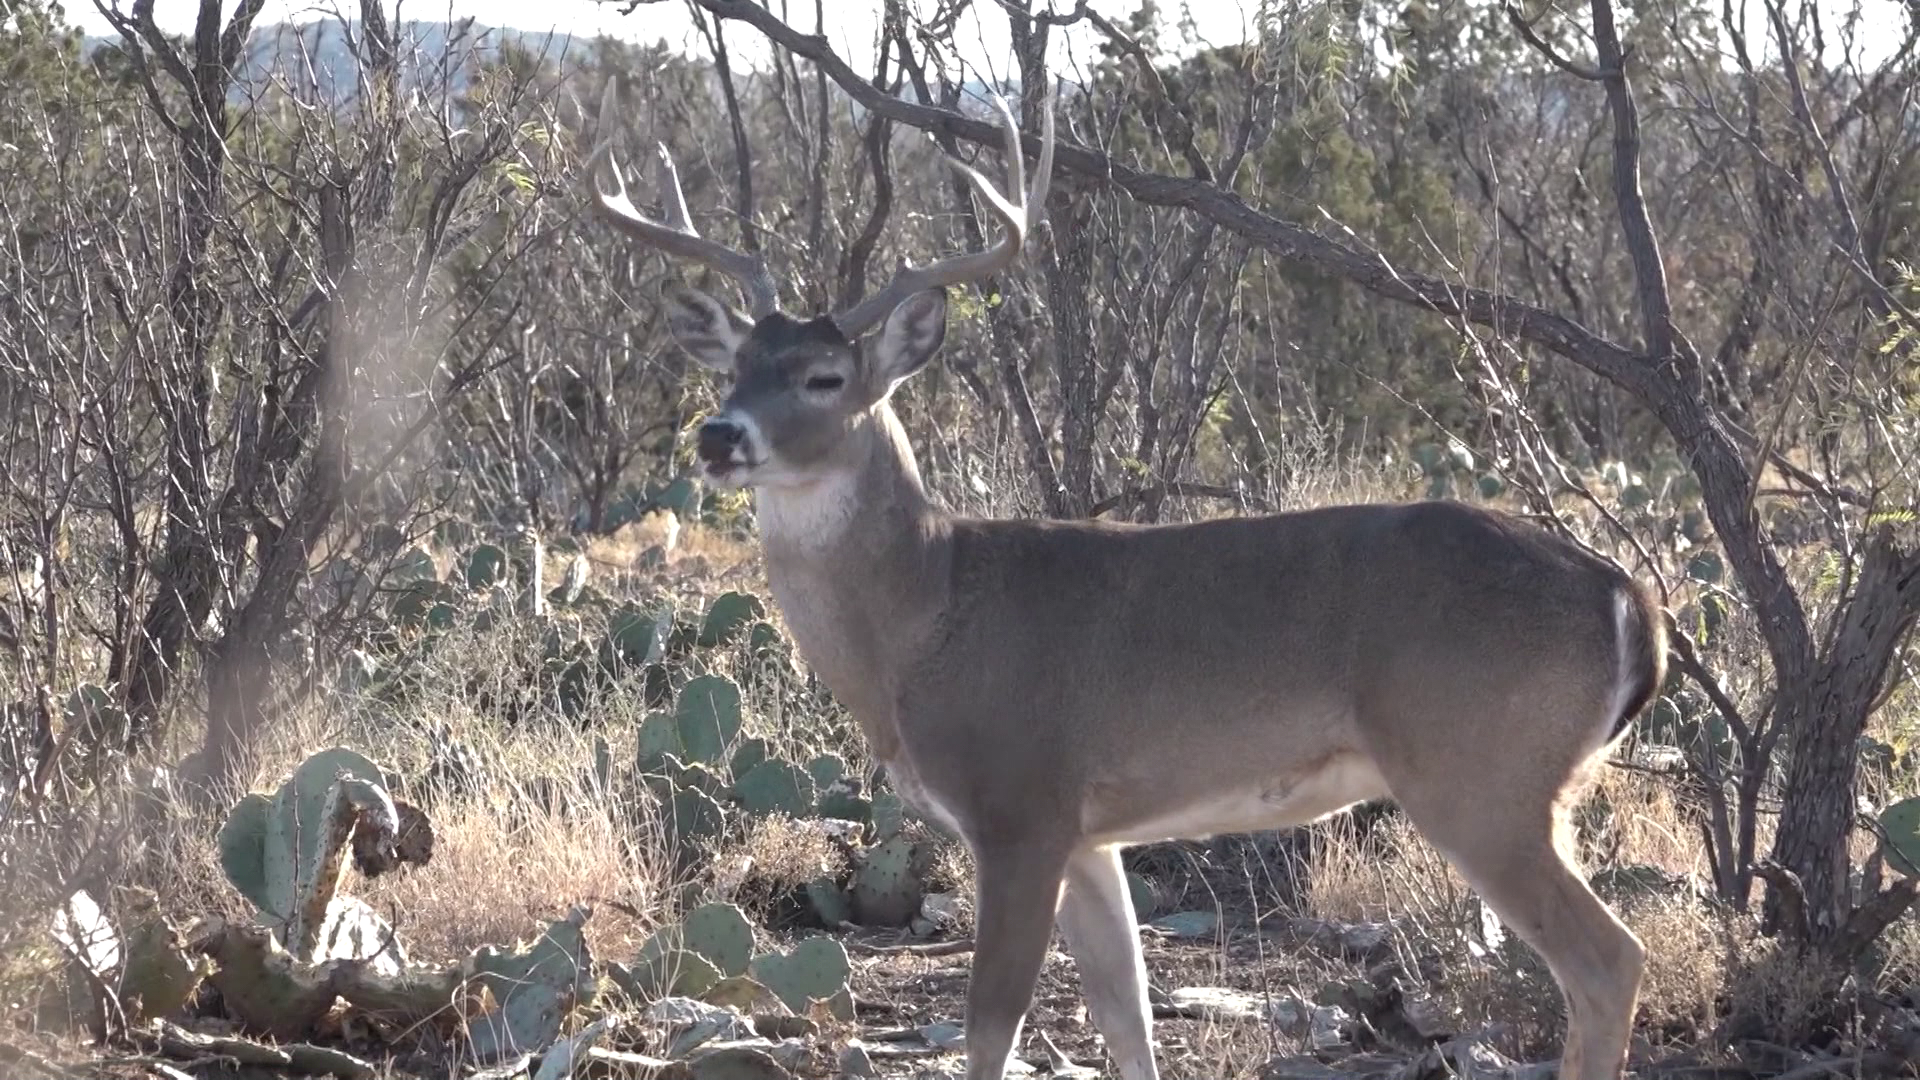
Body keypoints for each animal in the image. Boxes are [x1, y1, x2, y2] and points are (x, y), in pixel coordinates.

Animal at [585, 78, 1666, 1080]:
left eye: (824, 377)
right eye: (733, 368)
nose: (719, 435)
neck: (926, 613)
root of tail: (1629, 603)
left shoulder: (1021, 801)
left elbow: (991, 1028)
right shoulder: (1092, 834)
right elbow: (1127, 1017)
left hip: (1480, 775)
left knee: (1608, 960)